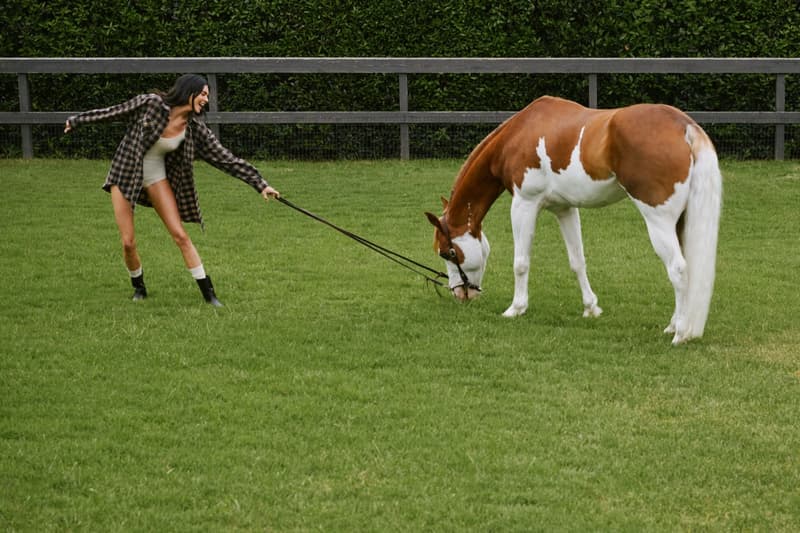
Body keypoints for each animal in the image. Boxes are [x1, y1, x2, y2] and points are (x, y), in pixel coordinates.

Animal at [425, 96, 722, 344]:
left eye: (449, 252)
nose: (460, 293)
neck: (520, 134)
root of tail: (684, 126)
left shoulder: (524, 204)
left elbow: (521, 263)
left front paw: (516, 308)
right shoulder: (565, 209)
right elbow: (577, 261)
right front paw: (591, 308)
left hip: (658, 220)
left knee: (678, 269)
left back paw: (681, 333)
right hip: (679, 222)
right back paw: (674, 326)